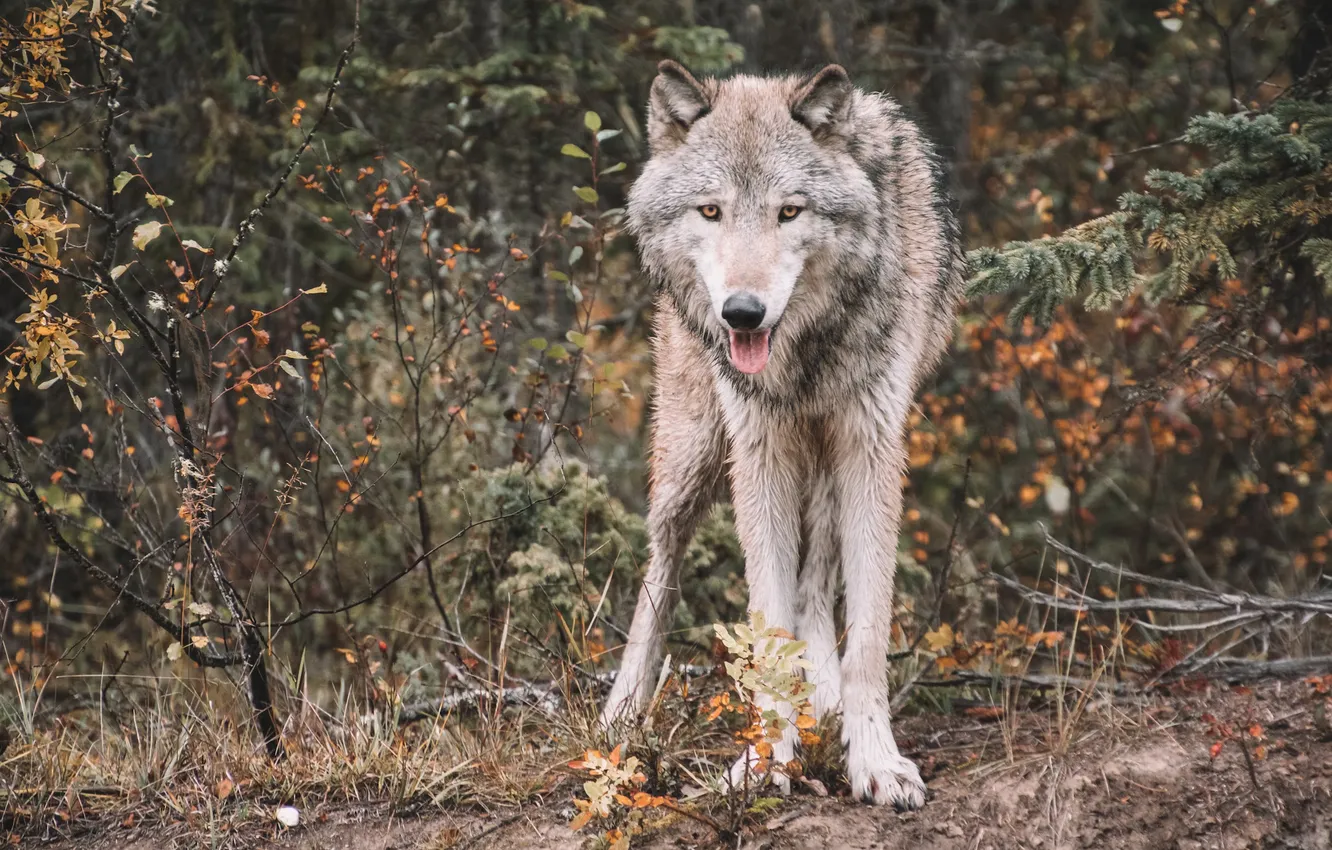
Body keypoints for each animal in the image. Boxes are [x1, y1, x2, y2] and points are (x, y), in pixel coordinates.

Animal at [600, 60, 964, 810]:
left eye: (788, 212)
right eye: (710, 211)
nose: (742, 313)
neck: (807, 350)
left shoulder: (872, 445)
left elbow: (866, 634)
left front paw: (876, 761)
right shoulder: (758, 451)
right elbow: (766, 625)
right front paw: (767, 762)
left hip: (821, 462)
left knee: (817, 575)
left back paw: (822, 697)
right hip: (693, 457)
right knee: (661, 565)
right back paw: (622, 712)